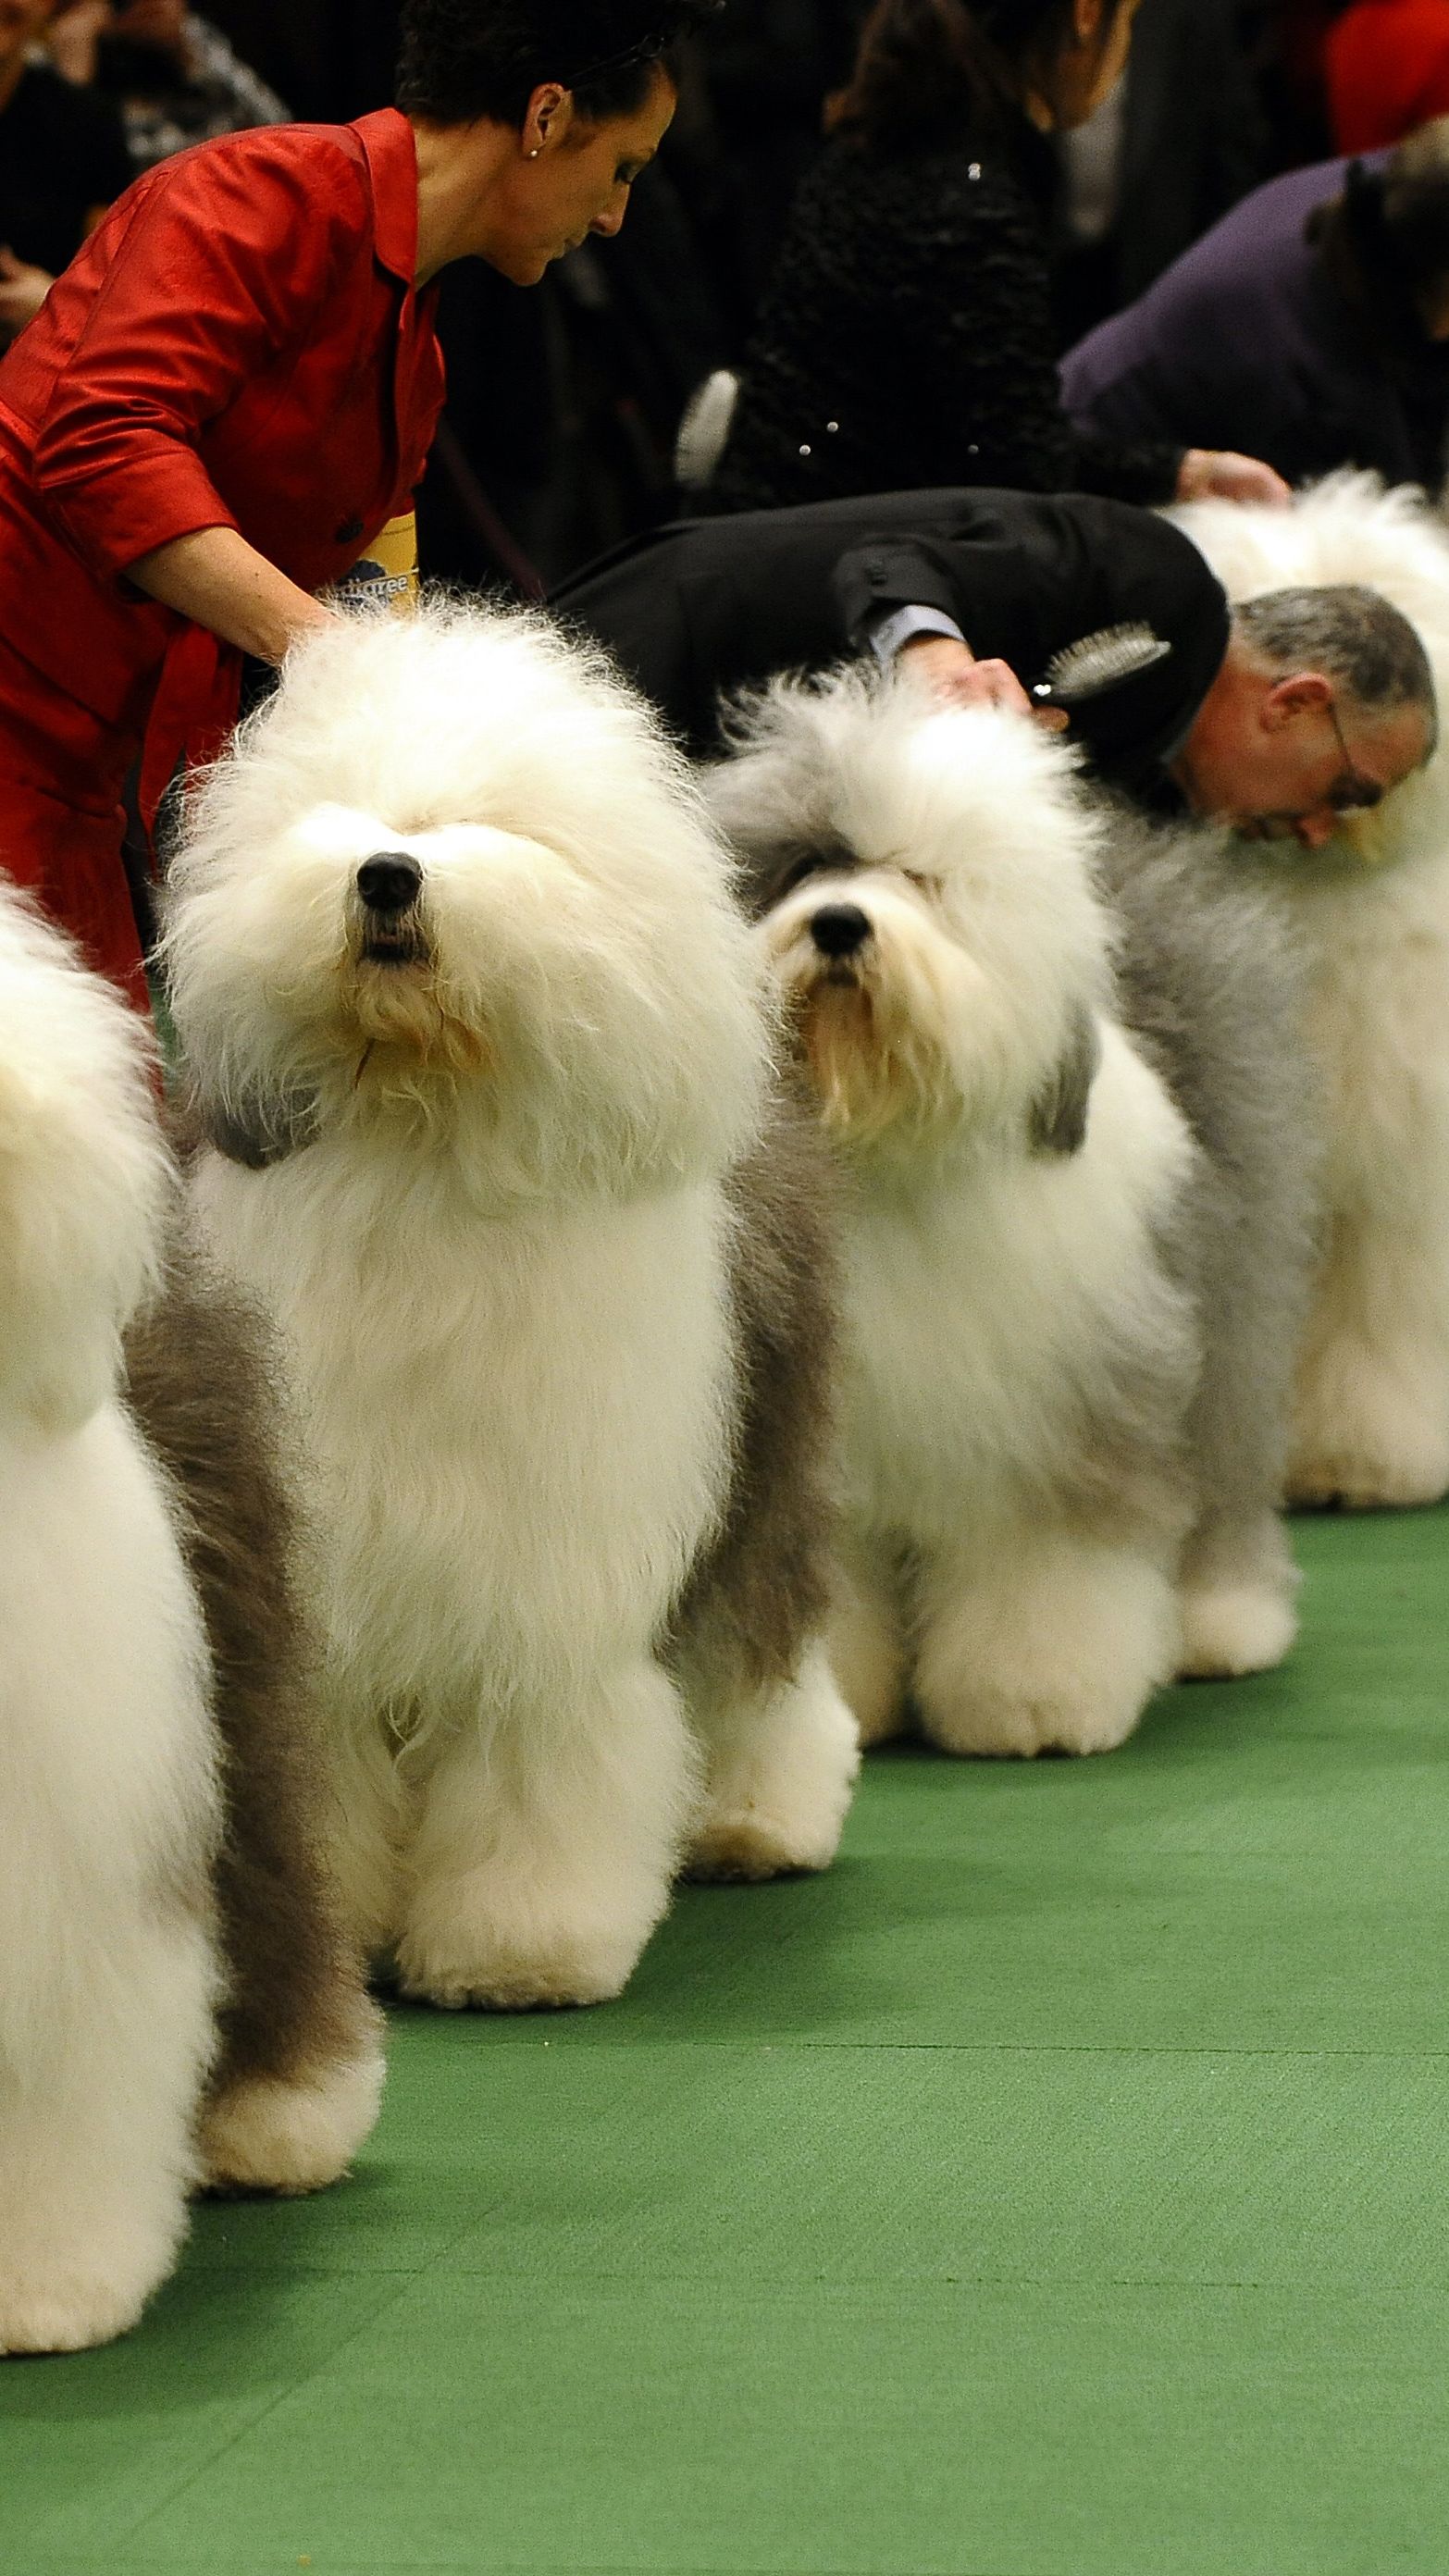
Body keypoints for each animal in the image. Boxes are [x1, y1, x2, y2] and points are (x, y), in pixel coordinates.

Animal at [165, 602, 856, 2009]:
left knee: (763, 1644)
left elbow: (542, 1760)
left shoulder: (551, 1583)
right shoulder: (341, 1574)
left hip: (762, 1462)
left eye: (492, 827)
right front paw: (344, 1924)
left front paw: (517, 1952)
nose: (385, 876)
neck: (425, 1125)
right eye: (348, 811)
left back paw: (761, 1821)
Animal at [706, 664, 1315, 1762]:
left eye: (923, 881)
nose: (840, 925)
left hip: (1231, 1299)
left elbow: (1047, 1563)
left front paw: (1035, 1703)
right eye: (811, 864)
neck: (889, 1160)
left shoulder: (1062, 1412)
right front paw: (852, 1705)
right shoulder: (833, 1449)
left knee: (1223, 1464)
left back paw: (1222, 1625)